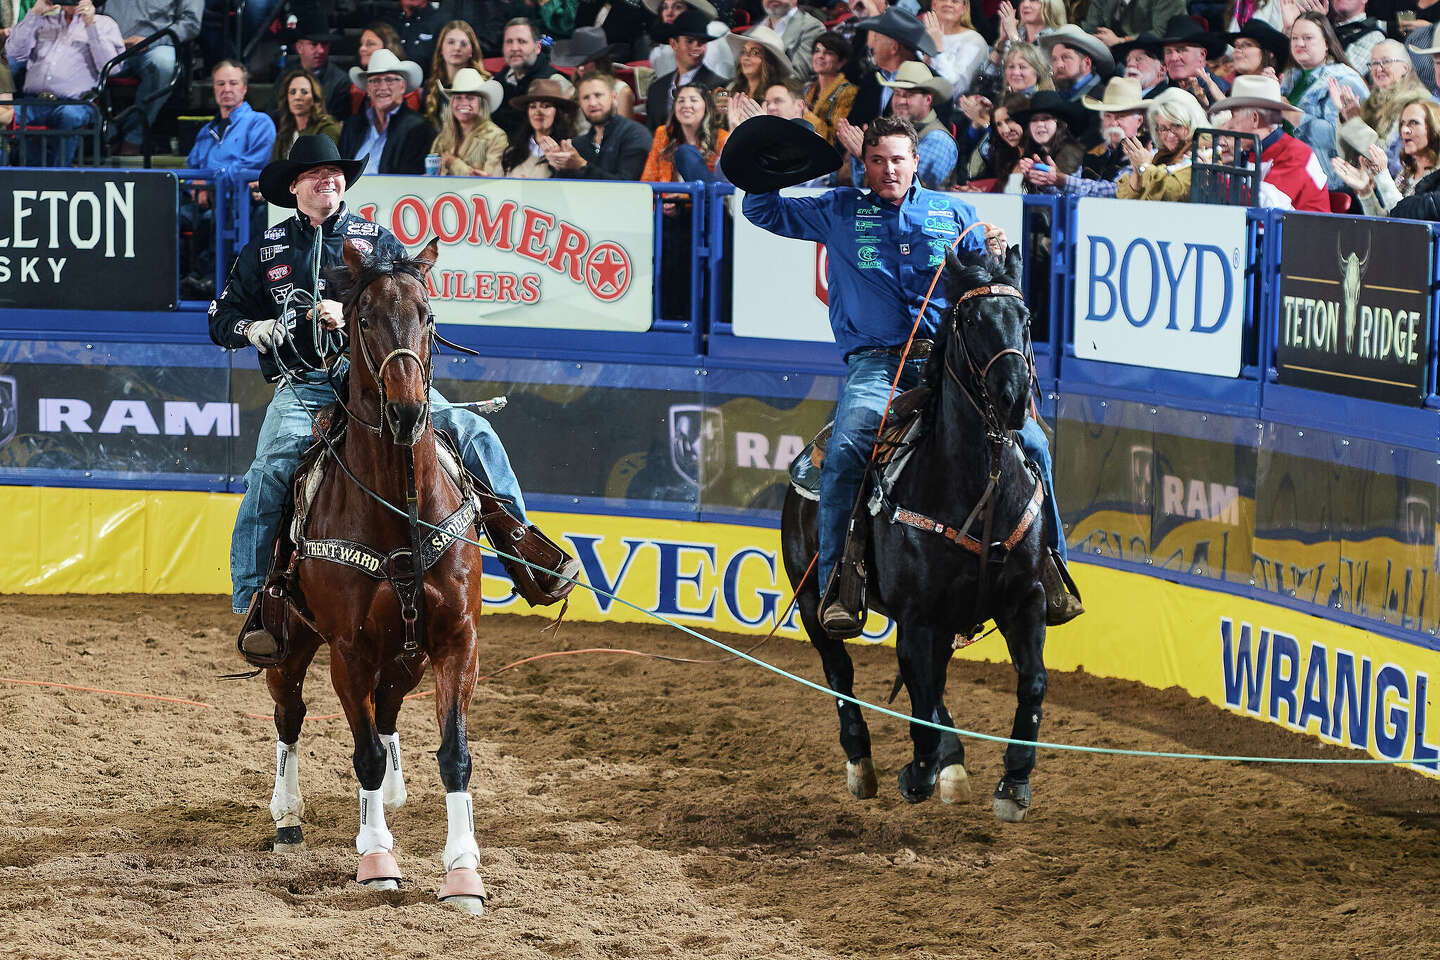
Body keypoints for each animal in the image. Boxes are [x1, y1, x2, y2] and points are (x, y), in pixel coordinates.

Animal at [267, 236, 492, 915]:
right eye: (362, 318)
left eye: (428, 315)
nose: (406, 411)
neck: (397, 510)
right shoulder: (349, 649)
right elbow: (361, 752)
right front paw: (376, 859)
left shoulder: (457, 641)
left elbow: (454, 755)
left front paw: (463, 873)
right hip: (290, 640)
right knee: (289, 712)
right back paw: (287, 814)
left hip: (407, 655)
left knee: (388, 709)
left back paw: (393, 793)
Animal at [783, 244, 1054, 823]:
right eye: (970, 319)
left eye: (1025, 318)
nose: (1013, 397)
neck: (977, 482)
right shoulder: (918, 616)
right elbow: (920, 694)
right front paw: (919, 772)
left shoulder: (1025, 598)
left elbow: (1032, 682)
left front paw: (1014, 781)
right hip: (812, 598)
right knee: (841, 672)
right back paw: (864, 763)